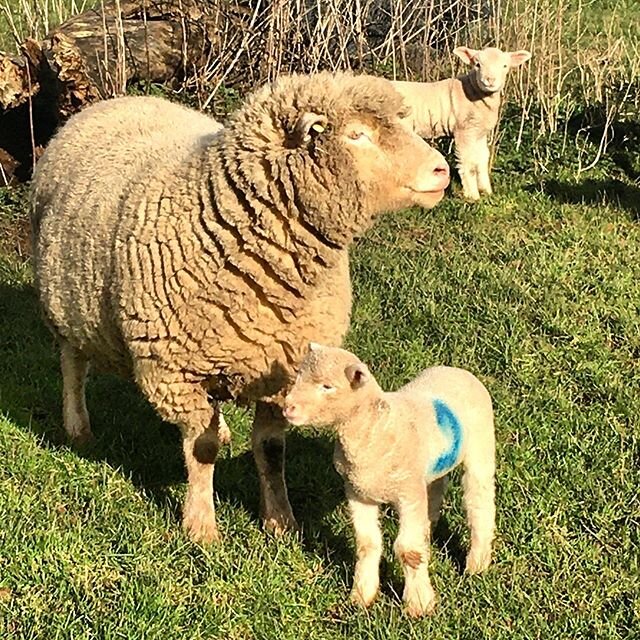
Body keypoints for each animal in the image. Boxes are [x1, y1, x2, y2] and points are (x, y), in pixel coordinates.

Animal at [30, 71, 450, 544]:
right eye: (357, 134)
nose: (441, 170)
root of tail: (114, 101)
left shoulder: (284, 370)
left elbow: (270, 449)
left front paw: (281, 521)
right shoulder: (178, 372)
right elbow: (202, 449)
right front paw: (200, 526)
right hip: (65, 302)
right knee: (72, 365)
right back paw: (77, 426)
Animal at [282, 342, 498, 616]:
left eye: (327, 386)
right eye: (298, 375)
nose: (287, 407)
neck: (376, 428)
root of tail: (457, 370)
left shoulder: (408, 493)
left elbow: (408, 550)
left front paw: (419, 604)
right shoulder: (358, 492)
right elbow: (367, 544)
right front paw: (361, 596)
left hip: (480, 446)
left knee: (479, 501)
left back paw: (477, 564)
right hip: (428, 470)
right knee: (435, 493)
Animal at [392, 45, 532, 200]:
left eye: (505, 66)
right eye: (477, 65)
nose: (490, 80)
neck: (475, 93)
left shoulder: (479, 133)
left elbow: (482, 159)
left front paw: (486, 191)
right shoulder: (464, 131)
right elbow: (468, 163)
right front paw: (473, 196)